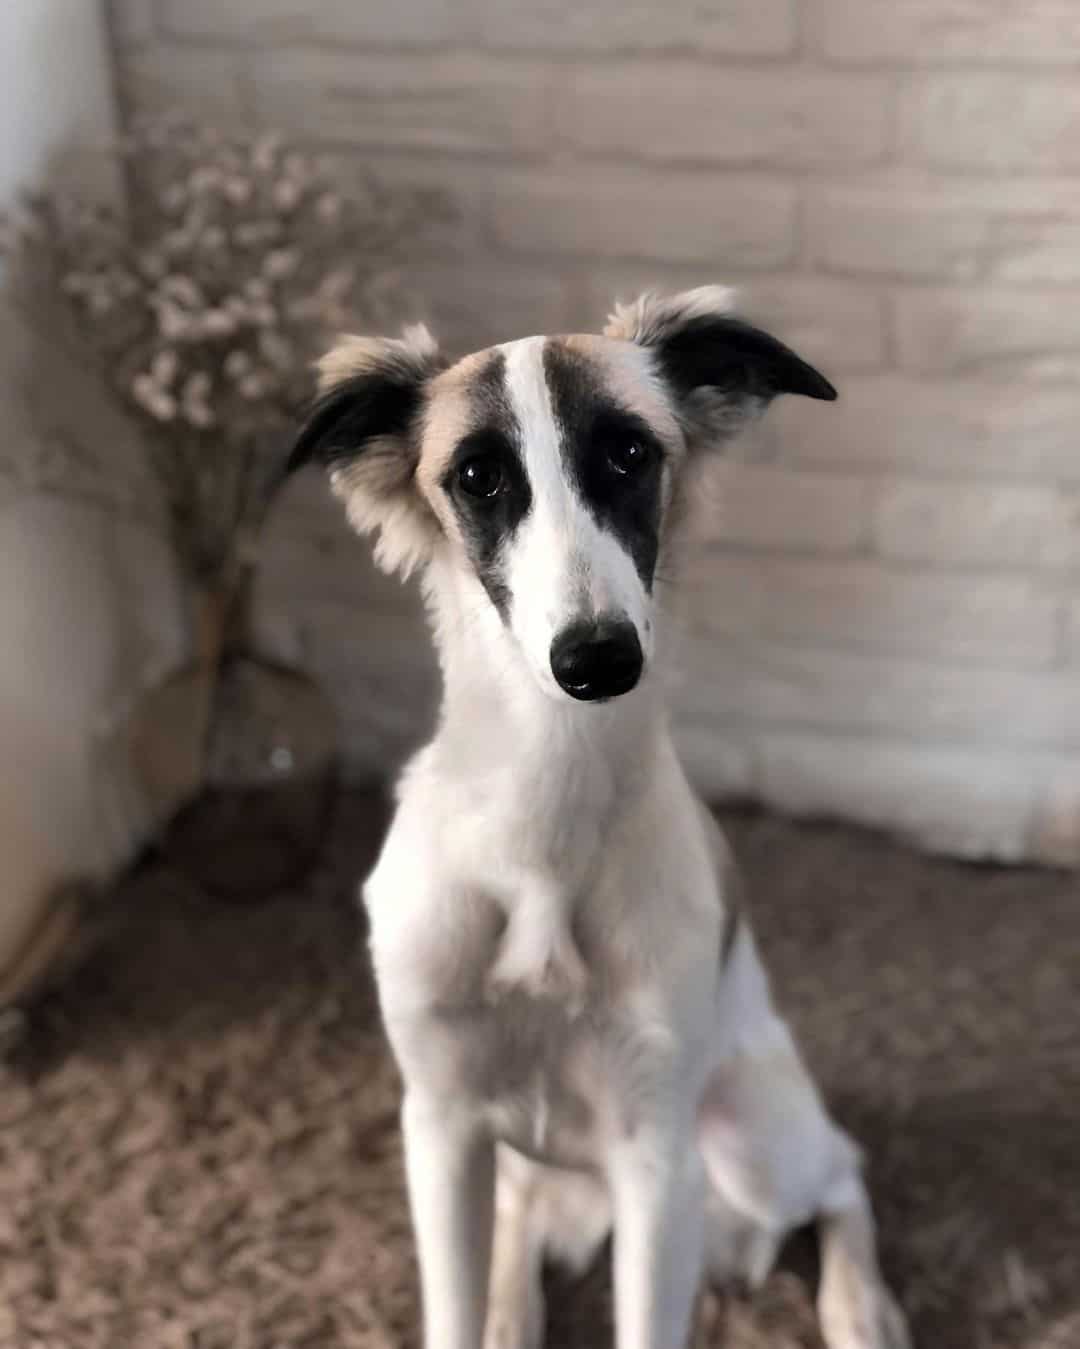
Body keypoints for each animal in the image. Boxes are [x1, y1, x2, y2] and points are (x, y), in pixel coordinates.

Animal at [288, 287, 911, 1349]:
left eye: (629, 452)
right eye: (477, 475)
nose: (596, 659)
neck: (544, 812)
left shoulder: (655, 1151)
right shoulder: (441, 1125)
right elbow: (452, 1308)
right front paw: (491, 1308)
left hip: (745, 1140)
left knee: (844, 1171)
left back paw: (858, 1303)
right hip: (532, 1160)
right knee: (526, 1217)